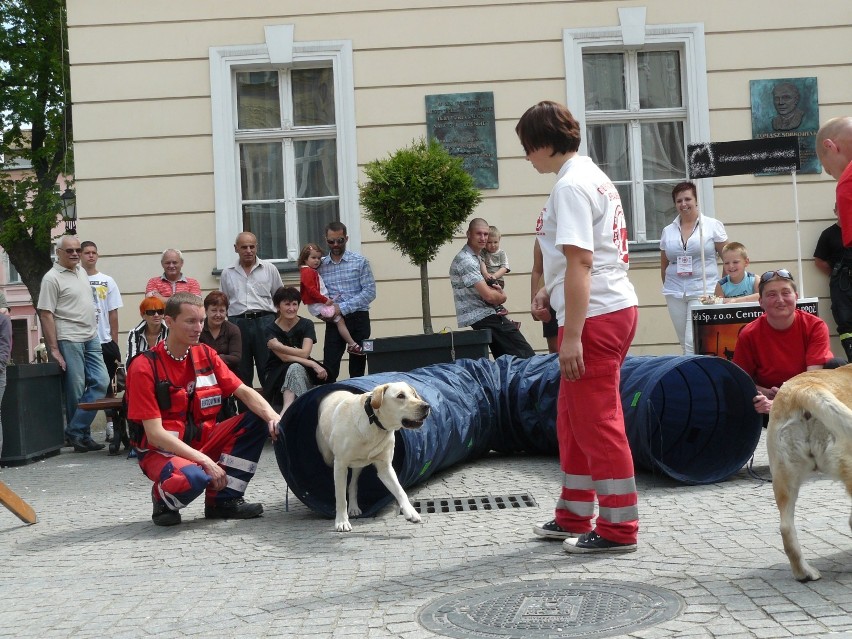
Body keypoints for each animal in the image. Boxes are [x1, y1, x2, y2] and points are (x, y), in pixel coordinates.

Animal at [316, 382, 430, 532]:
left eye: (413, 394)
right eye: (400, 396)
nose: (426, 406)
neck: (374, 424)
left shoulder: (385, 468)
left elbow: (400, 490)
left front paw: (410, 511)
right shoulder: (340, 465)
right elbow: (340, 497)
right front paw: (341, 521)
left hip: (359, 464)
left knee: (353, 484)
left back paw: (354, 507)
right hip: (328, 456)